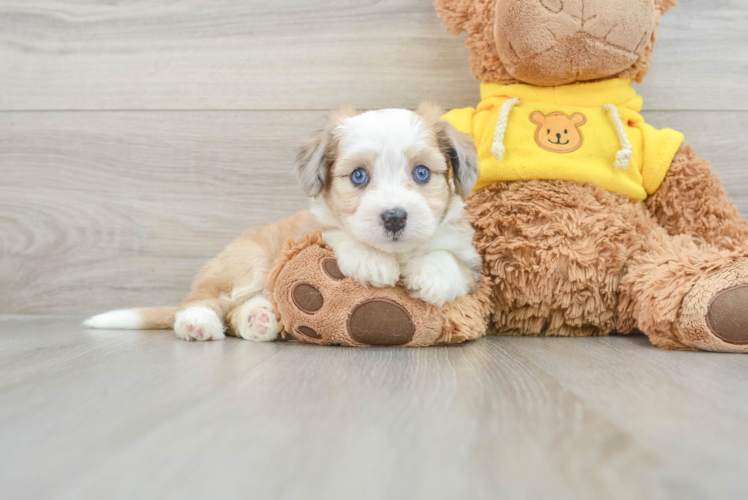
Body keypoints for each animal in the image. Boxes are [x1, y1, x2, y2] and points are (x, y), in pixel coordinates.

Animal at [84, 103, 482, 342]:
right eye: (358, 176)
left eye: (421, 173)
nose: (395, 217)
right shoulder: (309, 229)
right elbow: (335, 233)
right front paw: (371, 261)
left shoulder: (471, 263)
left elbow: (448, 257)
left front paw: (433, 275)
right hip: (247, 263)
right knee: (203, 300)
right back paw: (198, 322)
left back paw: (259, 319)